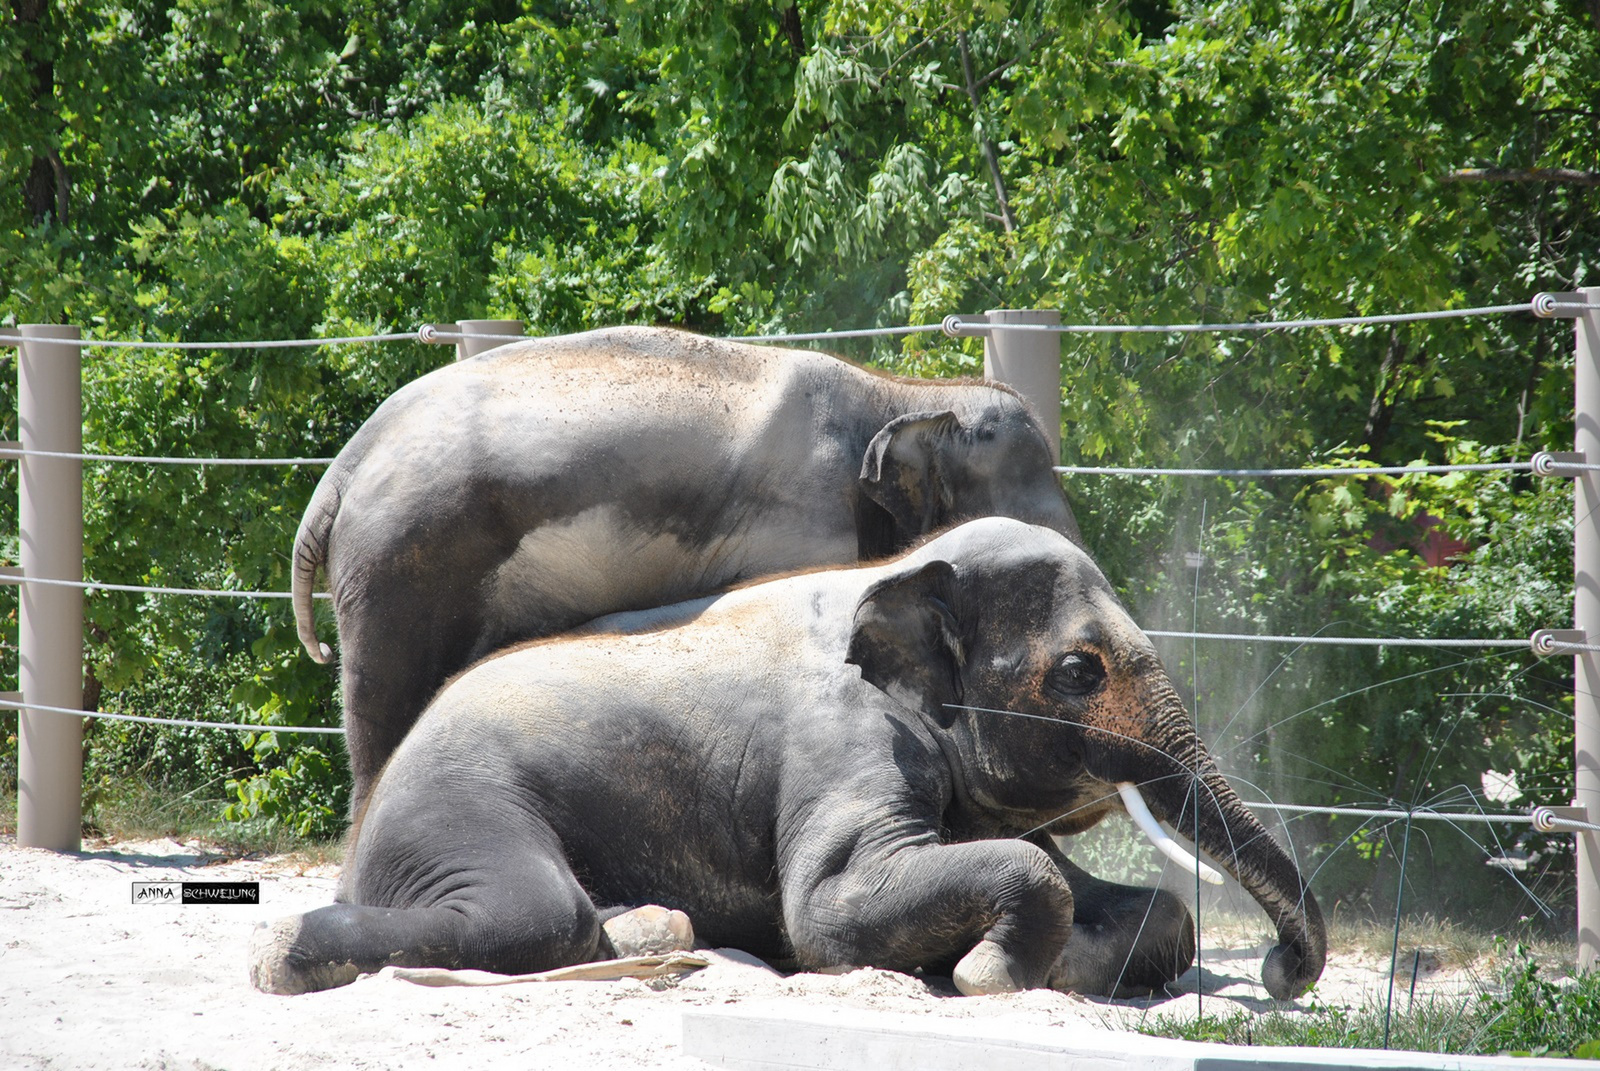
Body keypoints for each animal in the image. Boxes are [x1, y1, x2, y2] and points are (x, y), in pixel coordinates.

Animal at [252, 518, 1324, 1005]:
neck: (899, 572)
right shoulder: (844, 740)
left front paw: (1045, 964)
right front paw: (980, 973)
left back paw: (655, 930)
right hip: (460, 802)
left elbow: (1141, 905)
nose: (1279, 971)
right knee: (532, 911)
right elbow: (830, 911)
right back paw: (282, 948)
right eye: (1077, 671)